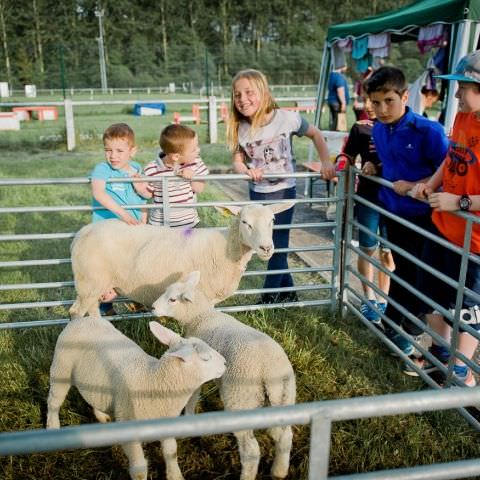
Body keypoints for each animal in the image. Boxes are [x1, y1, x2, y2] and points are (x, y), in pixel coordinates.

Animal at [46, 318, 226, 480]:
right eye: (206, 358)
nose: (225, 362)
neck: (154, 382)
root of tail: (80, 319)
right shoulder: (129, 431)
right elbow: (139, 471)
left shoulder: (167, 423)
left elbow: (171, 452)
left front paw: (175, 476)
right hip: (61, 368)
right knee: (54, 400)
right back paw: (52, 427)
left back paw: (102, 416)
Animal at [67, 202, 292, 318]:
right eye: (245, 222)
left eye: (272, 220)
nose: (266, 248)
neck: (226, 250)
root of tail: (82, 232)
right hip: (88, 283)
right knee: (75, 312)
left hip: (96, 286)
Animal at [153, 270, 296, 480]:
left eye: (172, 299)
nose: (153, 308)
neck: (201, 316)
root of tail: (270, 370)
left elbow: (193, 397)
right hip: (284, 395)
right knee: (285, 435)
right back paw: (279, 471)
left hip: (241, 397)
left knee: (251, 450)